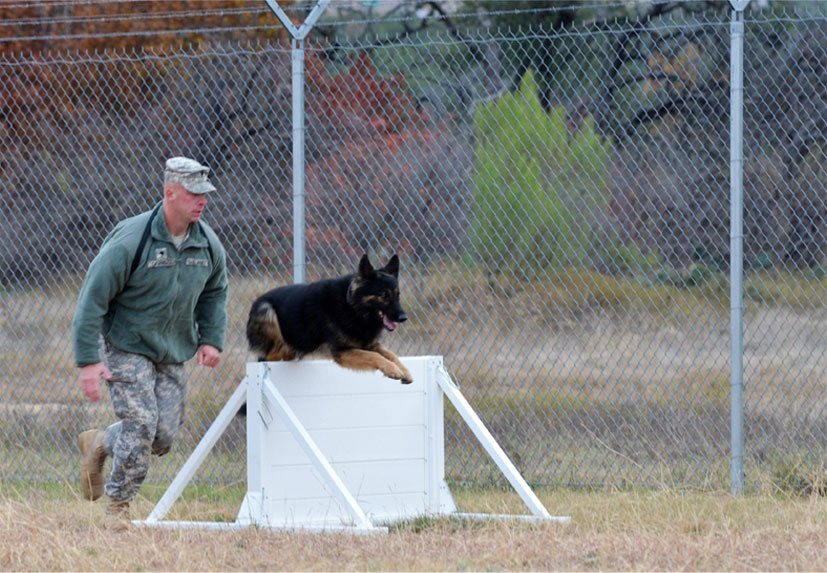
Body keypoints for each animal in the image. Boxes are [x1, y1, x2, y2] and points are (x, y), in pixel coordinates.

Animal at [246, 252, 414, 382]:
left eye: (398, 295)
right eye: (384, 295)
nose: (403, 317)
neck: (352, 307)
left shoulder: (369, 344)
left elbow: (391, 354)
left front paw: (404, 371)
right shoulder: (342, 351)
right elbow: (374, 356)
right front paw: (393, 370)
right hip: (266, 311)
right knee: (270, 355)